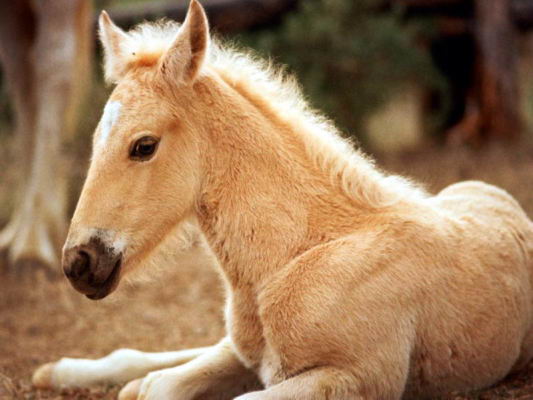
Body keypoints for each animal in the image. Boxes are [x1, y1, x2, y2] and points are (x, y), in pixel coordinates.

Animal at [33, 1, 532, 398]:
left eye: (143, 145)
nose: (78, 262)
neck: (295, 256)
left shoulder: (359, 377)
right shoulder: (248, 357)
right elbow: (162, 385)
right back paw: (57, 371)